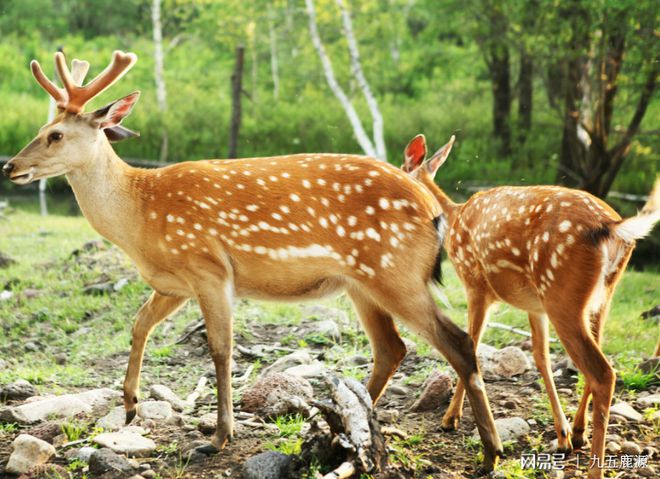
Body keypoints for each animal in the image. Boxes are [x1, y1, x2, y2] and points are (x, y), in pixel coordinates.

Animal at [2, 51, 506, 468]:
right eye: (41, 131)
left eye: (55, 134)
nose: (10, 166)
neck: (139, 215)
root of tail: (432, 208)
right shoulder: (173, 282)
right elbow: (139, 324)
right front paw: (128, 405)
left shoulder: (208, 266)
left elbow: (220, 349)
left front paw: (218, 436)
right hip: (362, 283)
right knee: (392, 348)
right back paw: (347, 426)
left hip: (394, 270)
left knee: (457, 341)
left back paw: (490, 451)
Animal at [402, 134, 660, 479]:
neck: (453, 220)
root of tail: (612, 226)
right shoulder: (533, 306)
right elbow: (540, 357)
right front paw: (563, 435)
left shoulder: (475, 284)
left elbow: (471, 345)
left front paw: (449, 419)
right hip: (598, 295)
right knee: (596, 357)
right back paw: (579, 432)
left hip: (562, 293)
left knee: (603, 372)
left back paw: (593, 465)